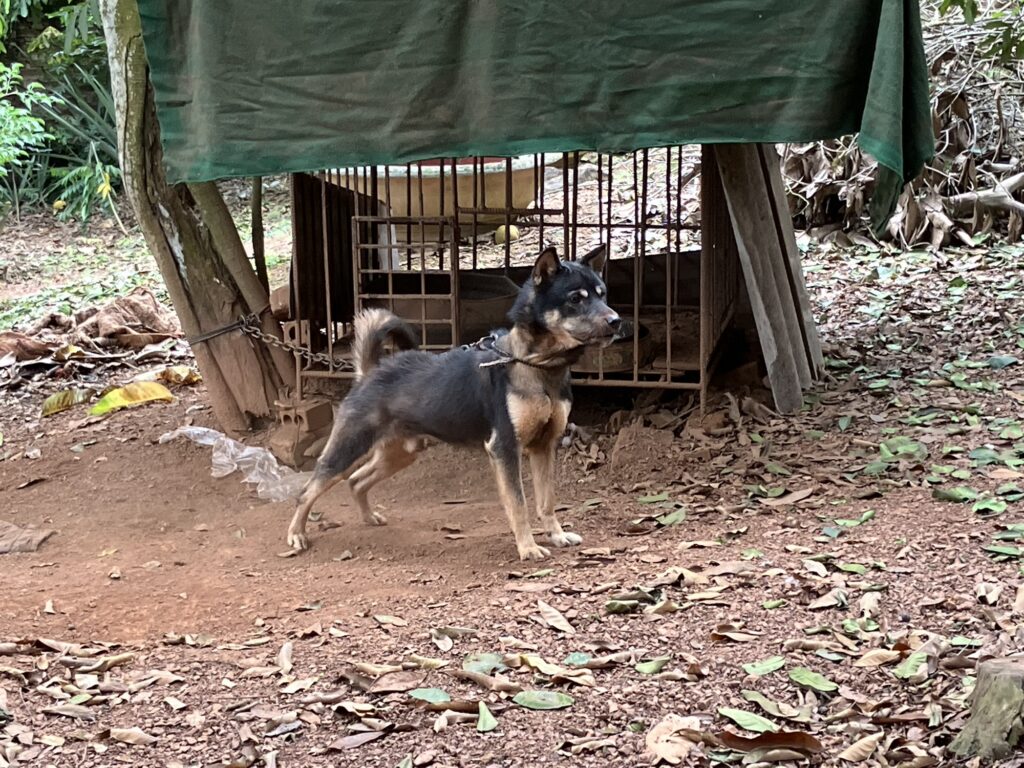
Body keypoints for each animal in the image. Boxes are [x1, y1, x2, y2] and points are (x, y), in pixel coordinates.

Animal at [288, 244, 622, 561]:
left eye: (603, 294)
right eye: (575, 299)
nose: (616, 321)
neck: (535, 365)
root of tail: (371, 371)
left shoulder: (544, 446)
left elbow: (547, 500)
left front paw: (556, 535)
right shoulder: (504, 448)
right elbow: (519, 504)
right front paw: (528, 548)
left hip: (400, 454)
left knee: (357, 481)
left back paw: (369, 517)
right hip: (346, 450)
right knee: (307, 491)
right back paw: (296, 535)